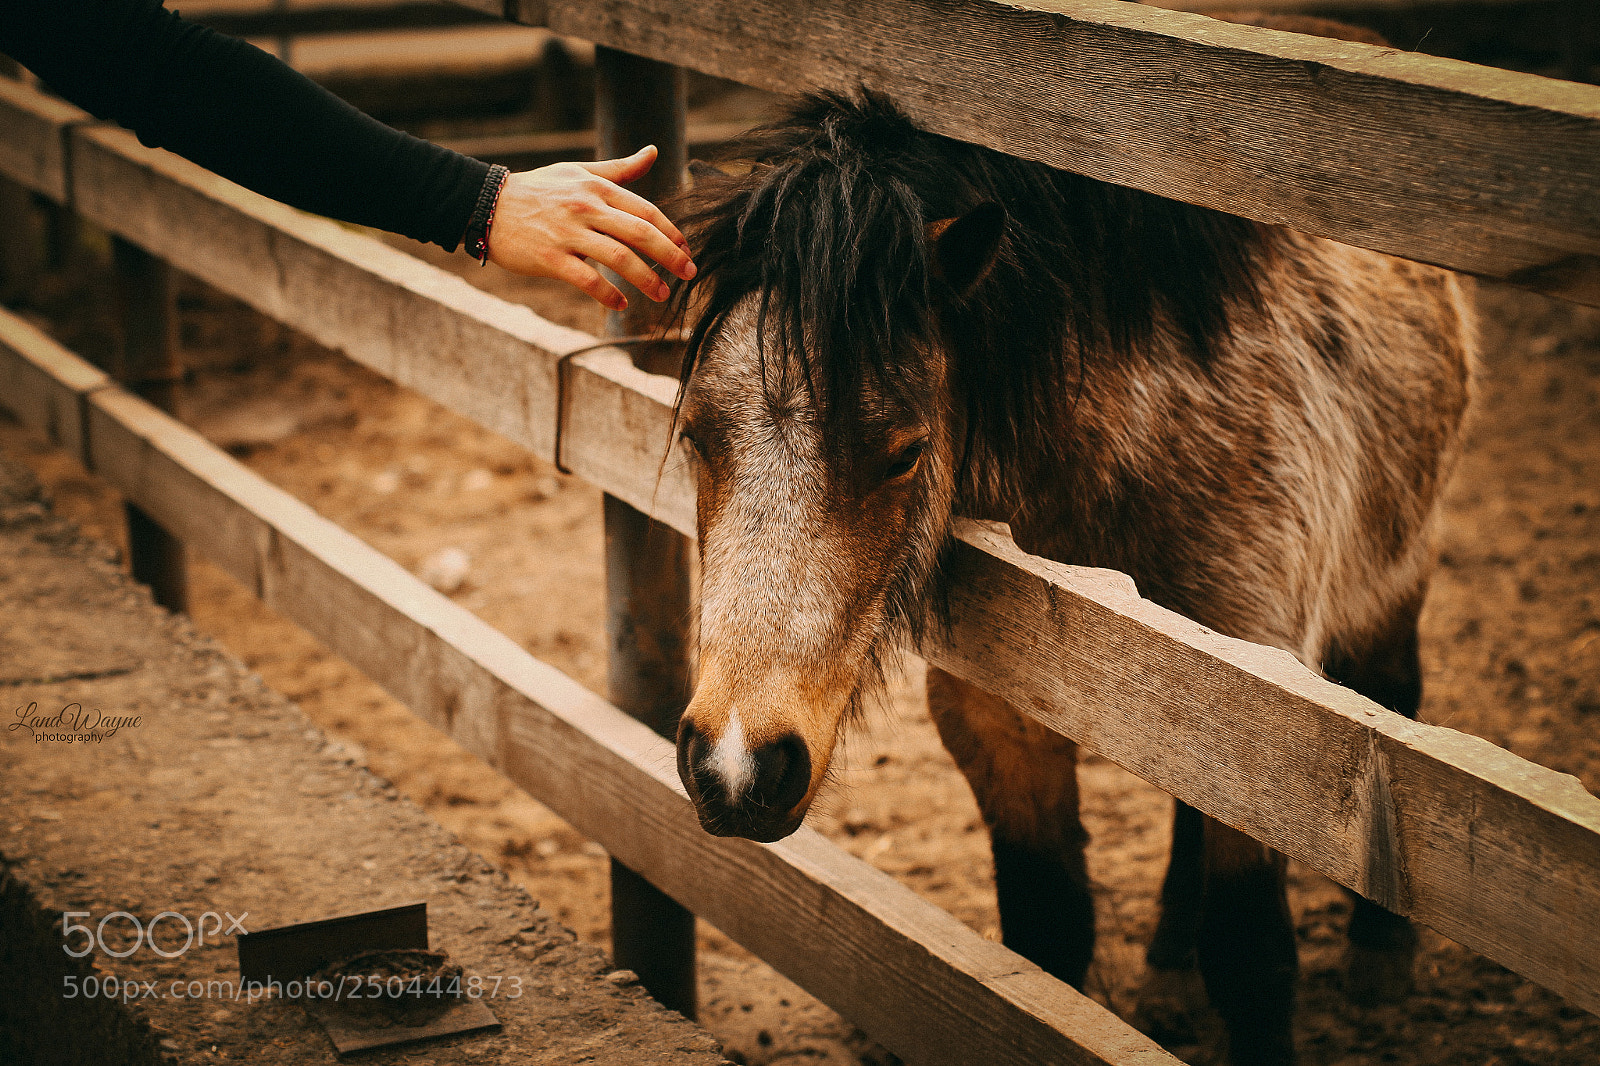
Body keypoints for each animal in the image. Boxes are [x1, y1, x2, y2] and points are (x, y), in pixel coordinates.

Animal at [664, 91, 1473, 1065]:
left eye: (905, 453)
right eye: (698, 435)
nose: (736, 767)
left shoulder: (1270, 734)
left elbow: (1250, 959)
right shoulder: (1000, 720)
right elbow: (1046, 937)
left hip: (1393, 577)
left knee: (1394, 689)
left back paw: (1378, 958)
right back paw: (1168, 968)